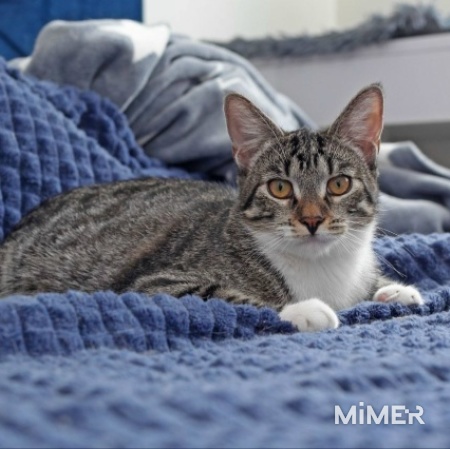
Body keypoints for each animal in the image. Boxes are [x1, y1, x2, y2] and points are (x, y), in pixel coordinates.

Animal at [0, 83, 423, 332]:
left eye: (338, 184)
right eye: (280, 188)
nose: (312, 219)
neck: (321, 269)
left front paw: (392, 290)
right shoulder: (152, 283)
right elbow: (223, 295)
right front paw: (302, 309)